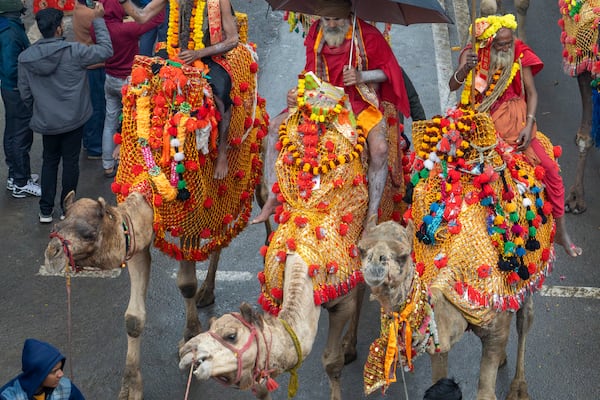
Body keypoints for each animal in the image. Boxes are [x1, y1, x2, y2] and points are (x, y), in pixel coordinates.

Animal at [42, 10, 268, 400]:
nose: (53, 252)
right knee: (220, 238)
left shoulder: (191, 216)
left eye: (88, 233)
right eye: (59, 224)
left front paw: (190, 336)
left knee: (269, 208)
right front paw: (130, 387)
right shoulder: (138, 238)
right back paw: (209, 292)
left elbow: (185, 284)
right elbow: (133, 318)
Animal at [358, 109, 556, 400]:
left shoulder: (494, 328)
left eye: (404, 255)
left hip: (533, 266)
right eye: (363, 251)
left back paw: (519, 386)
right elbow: (437, 375)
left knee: (525, 317)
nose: (376, 266)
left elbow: (486, 392)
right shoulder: (439, 338)